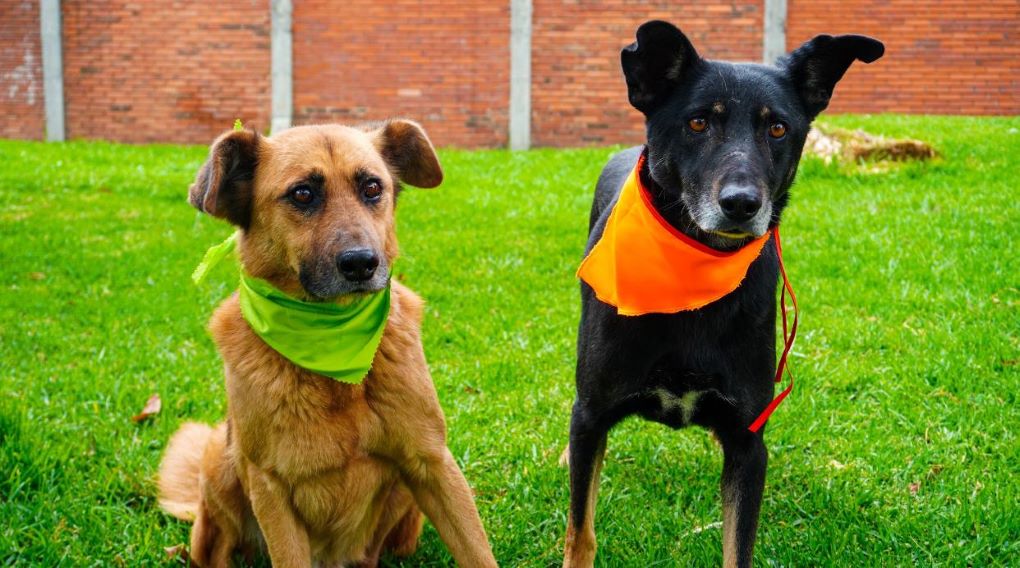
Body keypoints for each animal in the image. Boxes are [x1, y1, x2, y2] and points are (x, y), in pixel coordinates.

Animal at [155, 121, 497, 562]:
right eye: (303, 193)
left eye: (372, 187)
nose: (361, 263)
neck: (334, 346)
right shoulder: (270, 488)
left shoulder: (433, 462)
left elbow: (477, 551)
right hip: (218, 458)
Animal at [563, 19, 881, 562]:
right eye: (697, 124)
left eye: (778, 128)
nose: (741, 204)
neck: (694, 277)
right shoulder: (593, 416)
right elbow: (580, 529)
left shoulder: (748, 446)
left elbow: (739, 545)